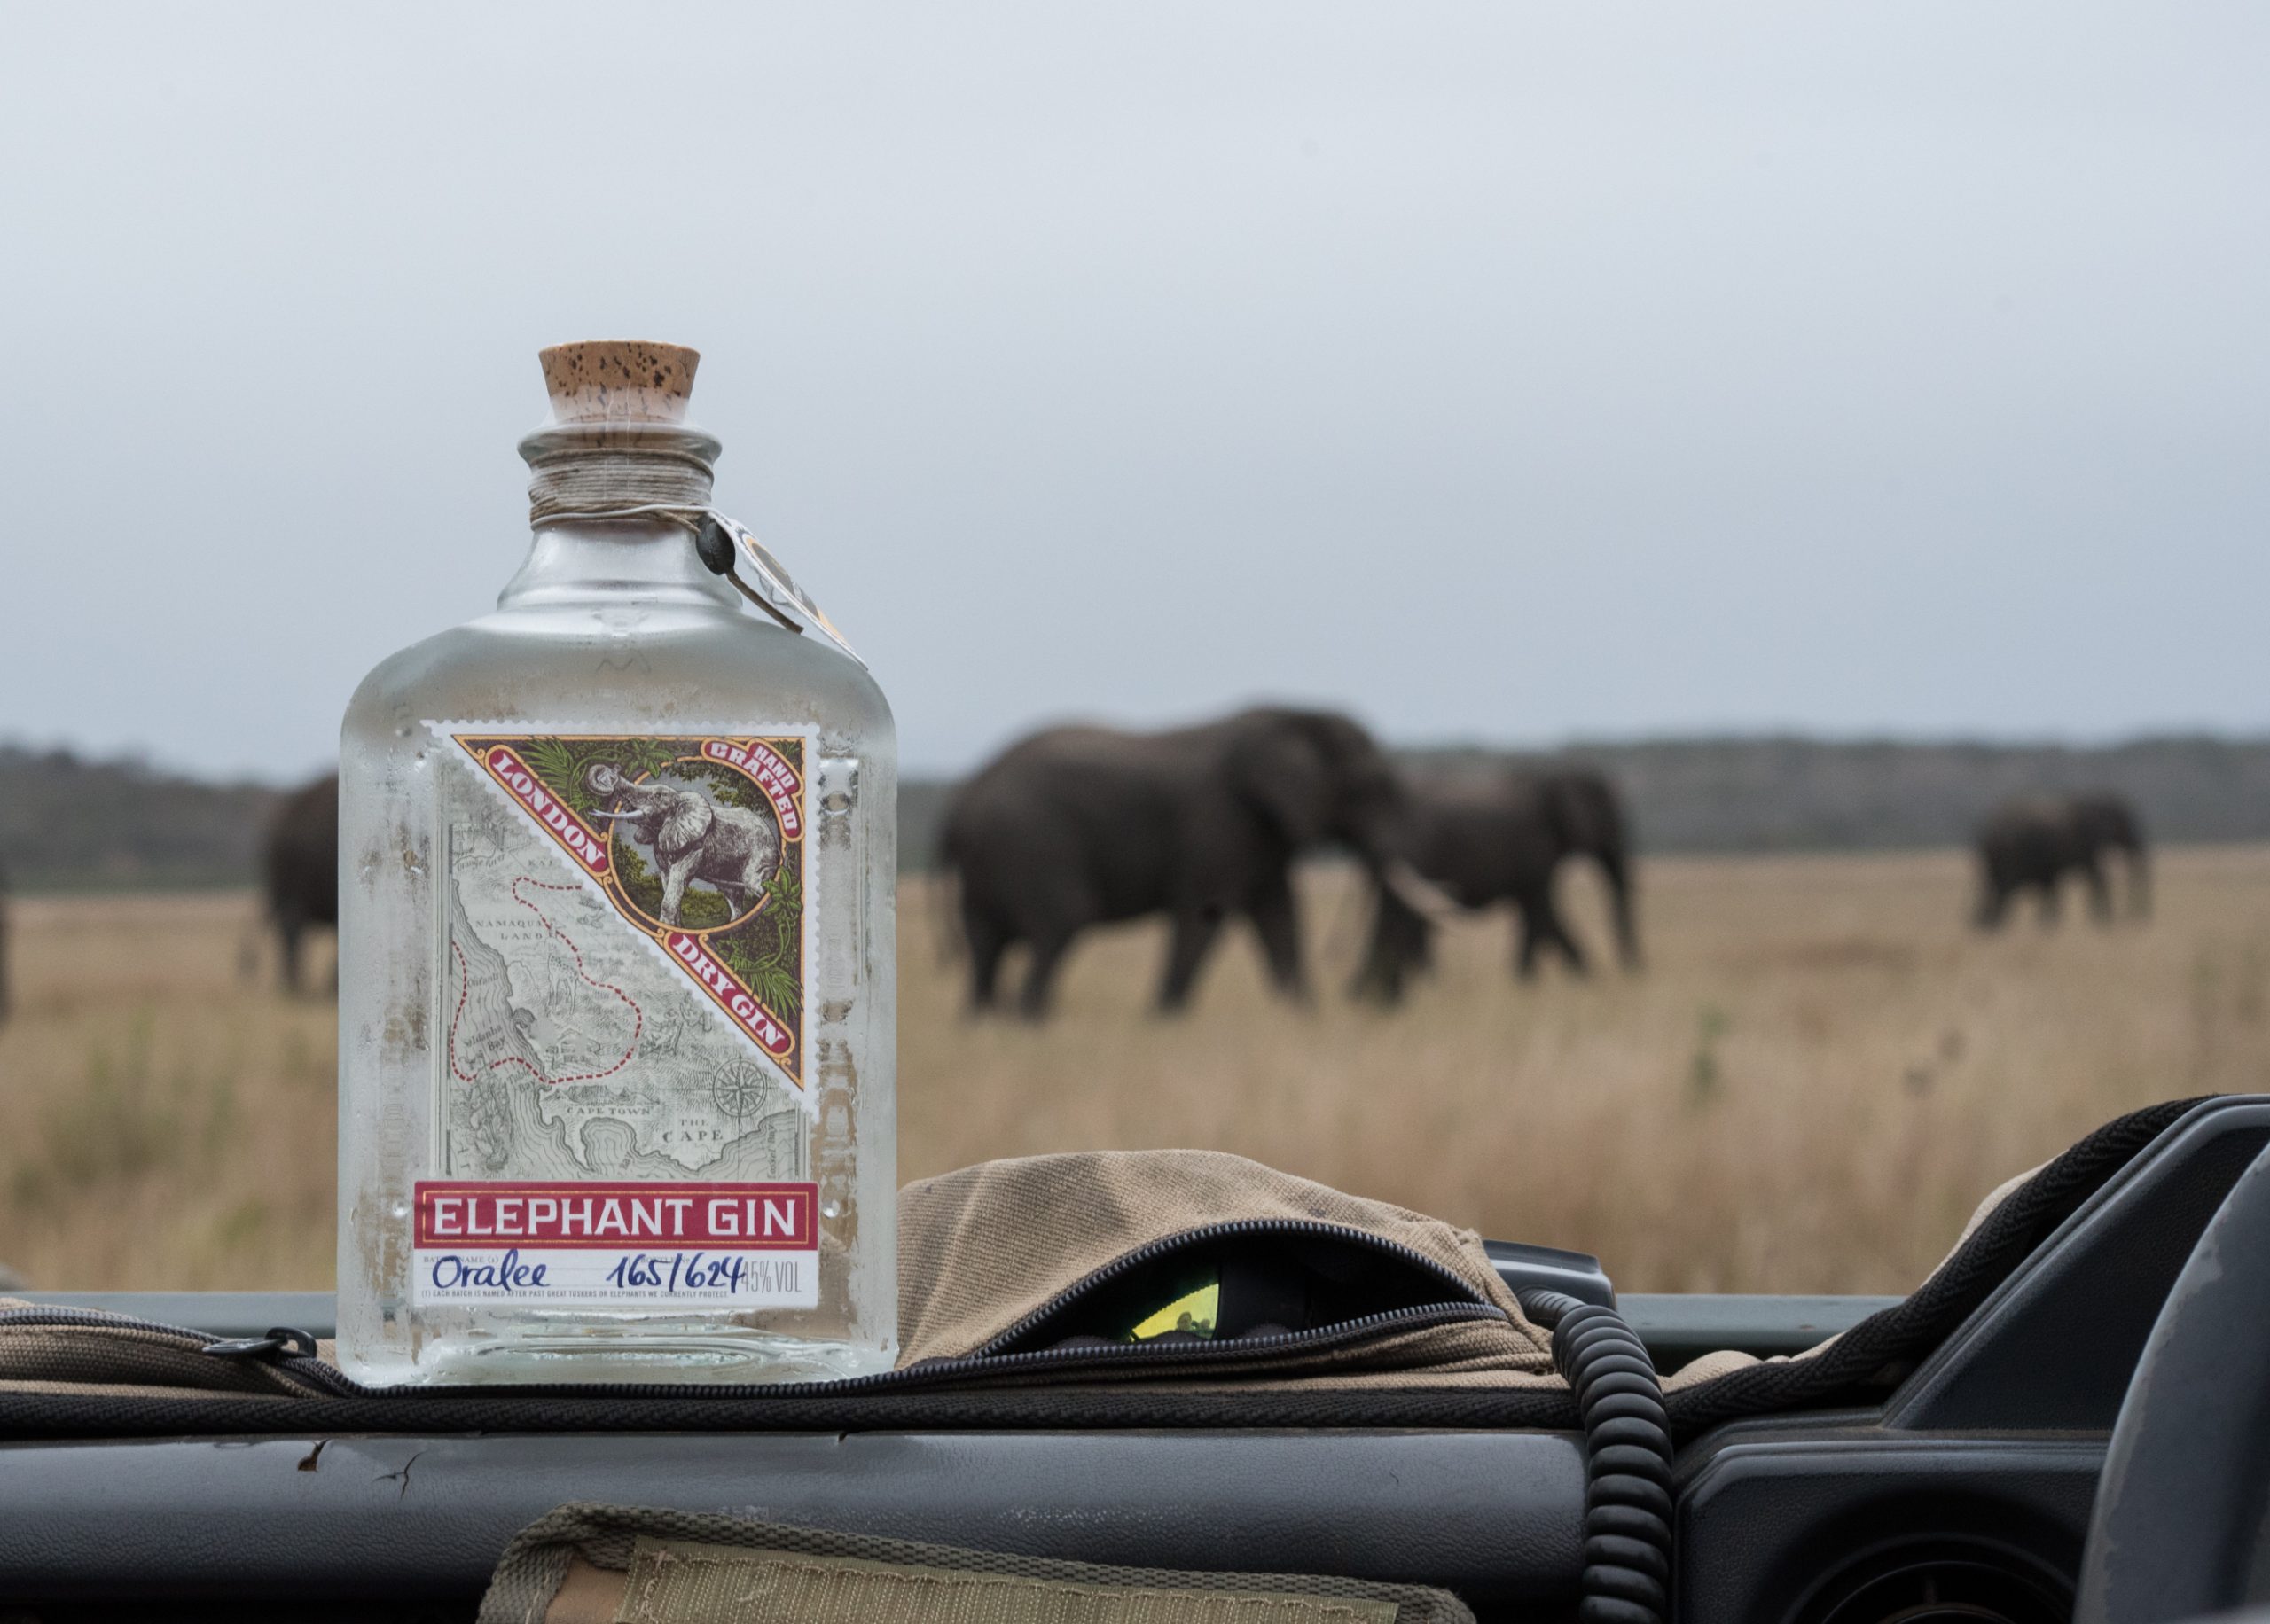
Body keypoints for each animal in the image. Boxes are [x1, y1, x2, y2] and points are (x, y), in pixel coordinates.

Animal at [584, 764, 781, 928]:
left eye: (658, 796)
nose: (612, 773)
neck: (680, 797)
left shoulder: (697, 845)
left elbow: (679, 875)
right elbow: (668, 880)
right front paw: (675, 927)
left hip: (760, 856)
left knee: (758, 886)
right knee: (734, 896)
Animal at [939, 706, 1425, 1019]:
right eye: (1370, 786)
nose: (1364, 1002)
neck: (1296, 714)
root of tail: (962, 800)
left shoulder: (1260, 835)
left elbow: (1279, 918)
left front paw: (1304, 1019)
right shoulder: (1222, 822)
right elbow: (1204, 916)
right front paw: (1162, 1023)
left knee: (985, 945)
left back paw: (983, 1026)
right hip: (1033, 846)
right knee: (1056, 928)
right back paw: (1029, 1024)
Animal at [1350, 765, 1639, 1003]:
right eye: (1609, 819)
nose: (1636, 972)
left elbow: (1545, 918)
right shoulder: (1537, 855)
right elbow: (1541, 915)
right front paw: (1527, 988)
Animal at [1974, 792, 2148, 929]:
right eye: (2122, 825)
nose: (2134, 919)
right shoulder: (2084, 842)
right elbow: (2095, 877)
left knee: (1993, 886)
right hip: (2010, 854)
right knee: (2001, 887)